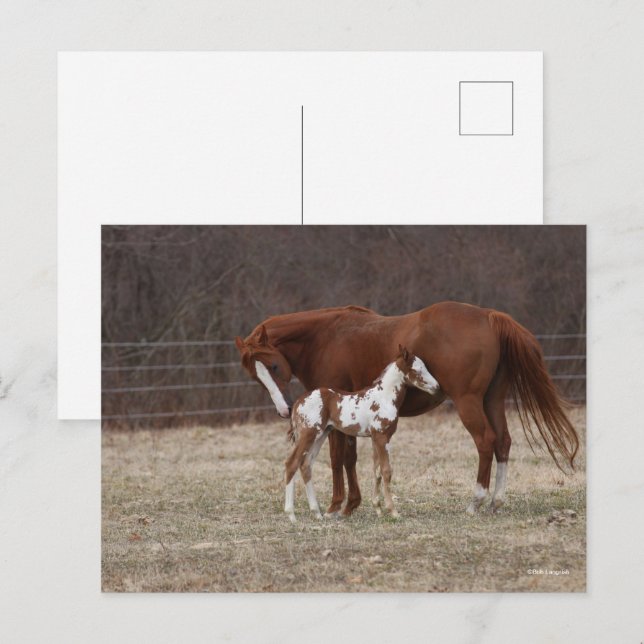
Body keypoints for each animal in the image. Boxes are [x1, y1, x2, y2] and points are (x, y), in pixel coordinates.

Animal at [284, 347, 440, 522]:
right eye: (417, 370)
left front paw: (378, 509)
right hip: (308, 434)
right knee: (292, 464)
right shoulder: (382, 437)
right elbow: (386, 471)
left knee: (306, 465)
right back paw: (291, 515)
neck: (384, 398)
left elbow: (377, 471)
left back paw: (317, 513)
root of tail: (298, 402)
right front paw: (393, 511)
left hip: (321, 434)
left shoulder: (376, 439)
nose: (436, 387)